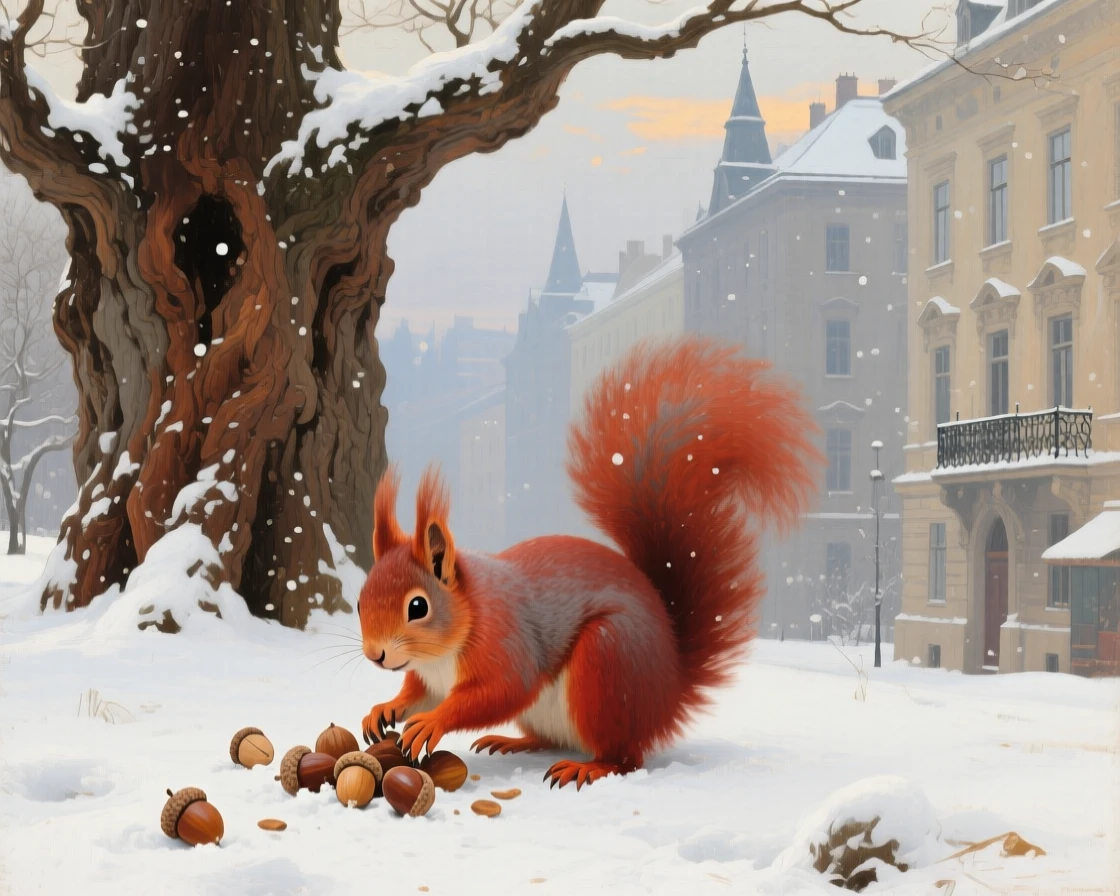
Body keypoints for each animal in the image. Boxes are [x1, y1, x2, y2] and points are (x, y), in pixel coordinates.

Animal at [358, 335, 821, 789]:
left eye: (418, 606)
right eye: (360, 603)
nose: (375, 656)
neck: (447, 643)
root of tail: (669, 694)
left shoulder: (505, 643)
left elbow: (500, 691)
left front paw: (432, 722)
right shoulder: (429, 675)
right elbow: (418, 692)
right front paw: (385, 708)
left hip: (607, 664)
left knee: (626, 757)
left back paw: (588, 767)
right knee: (550, 739)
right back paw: (512, 742)